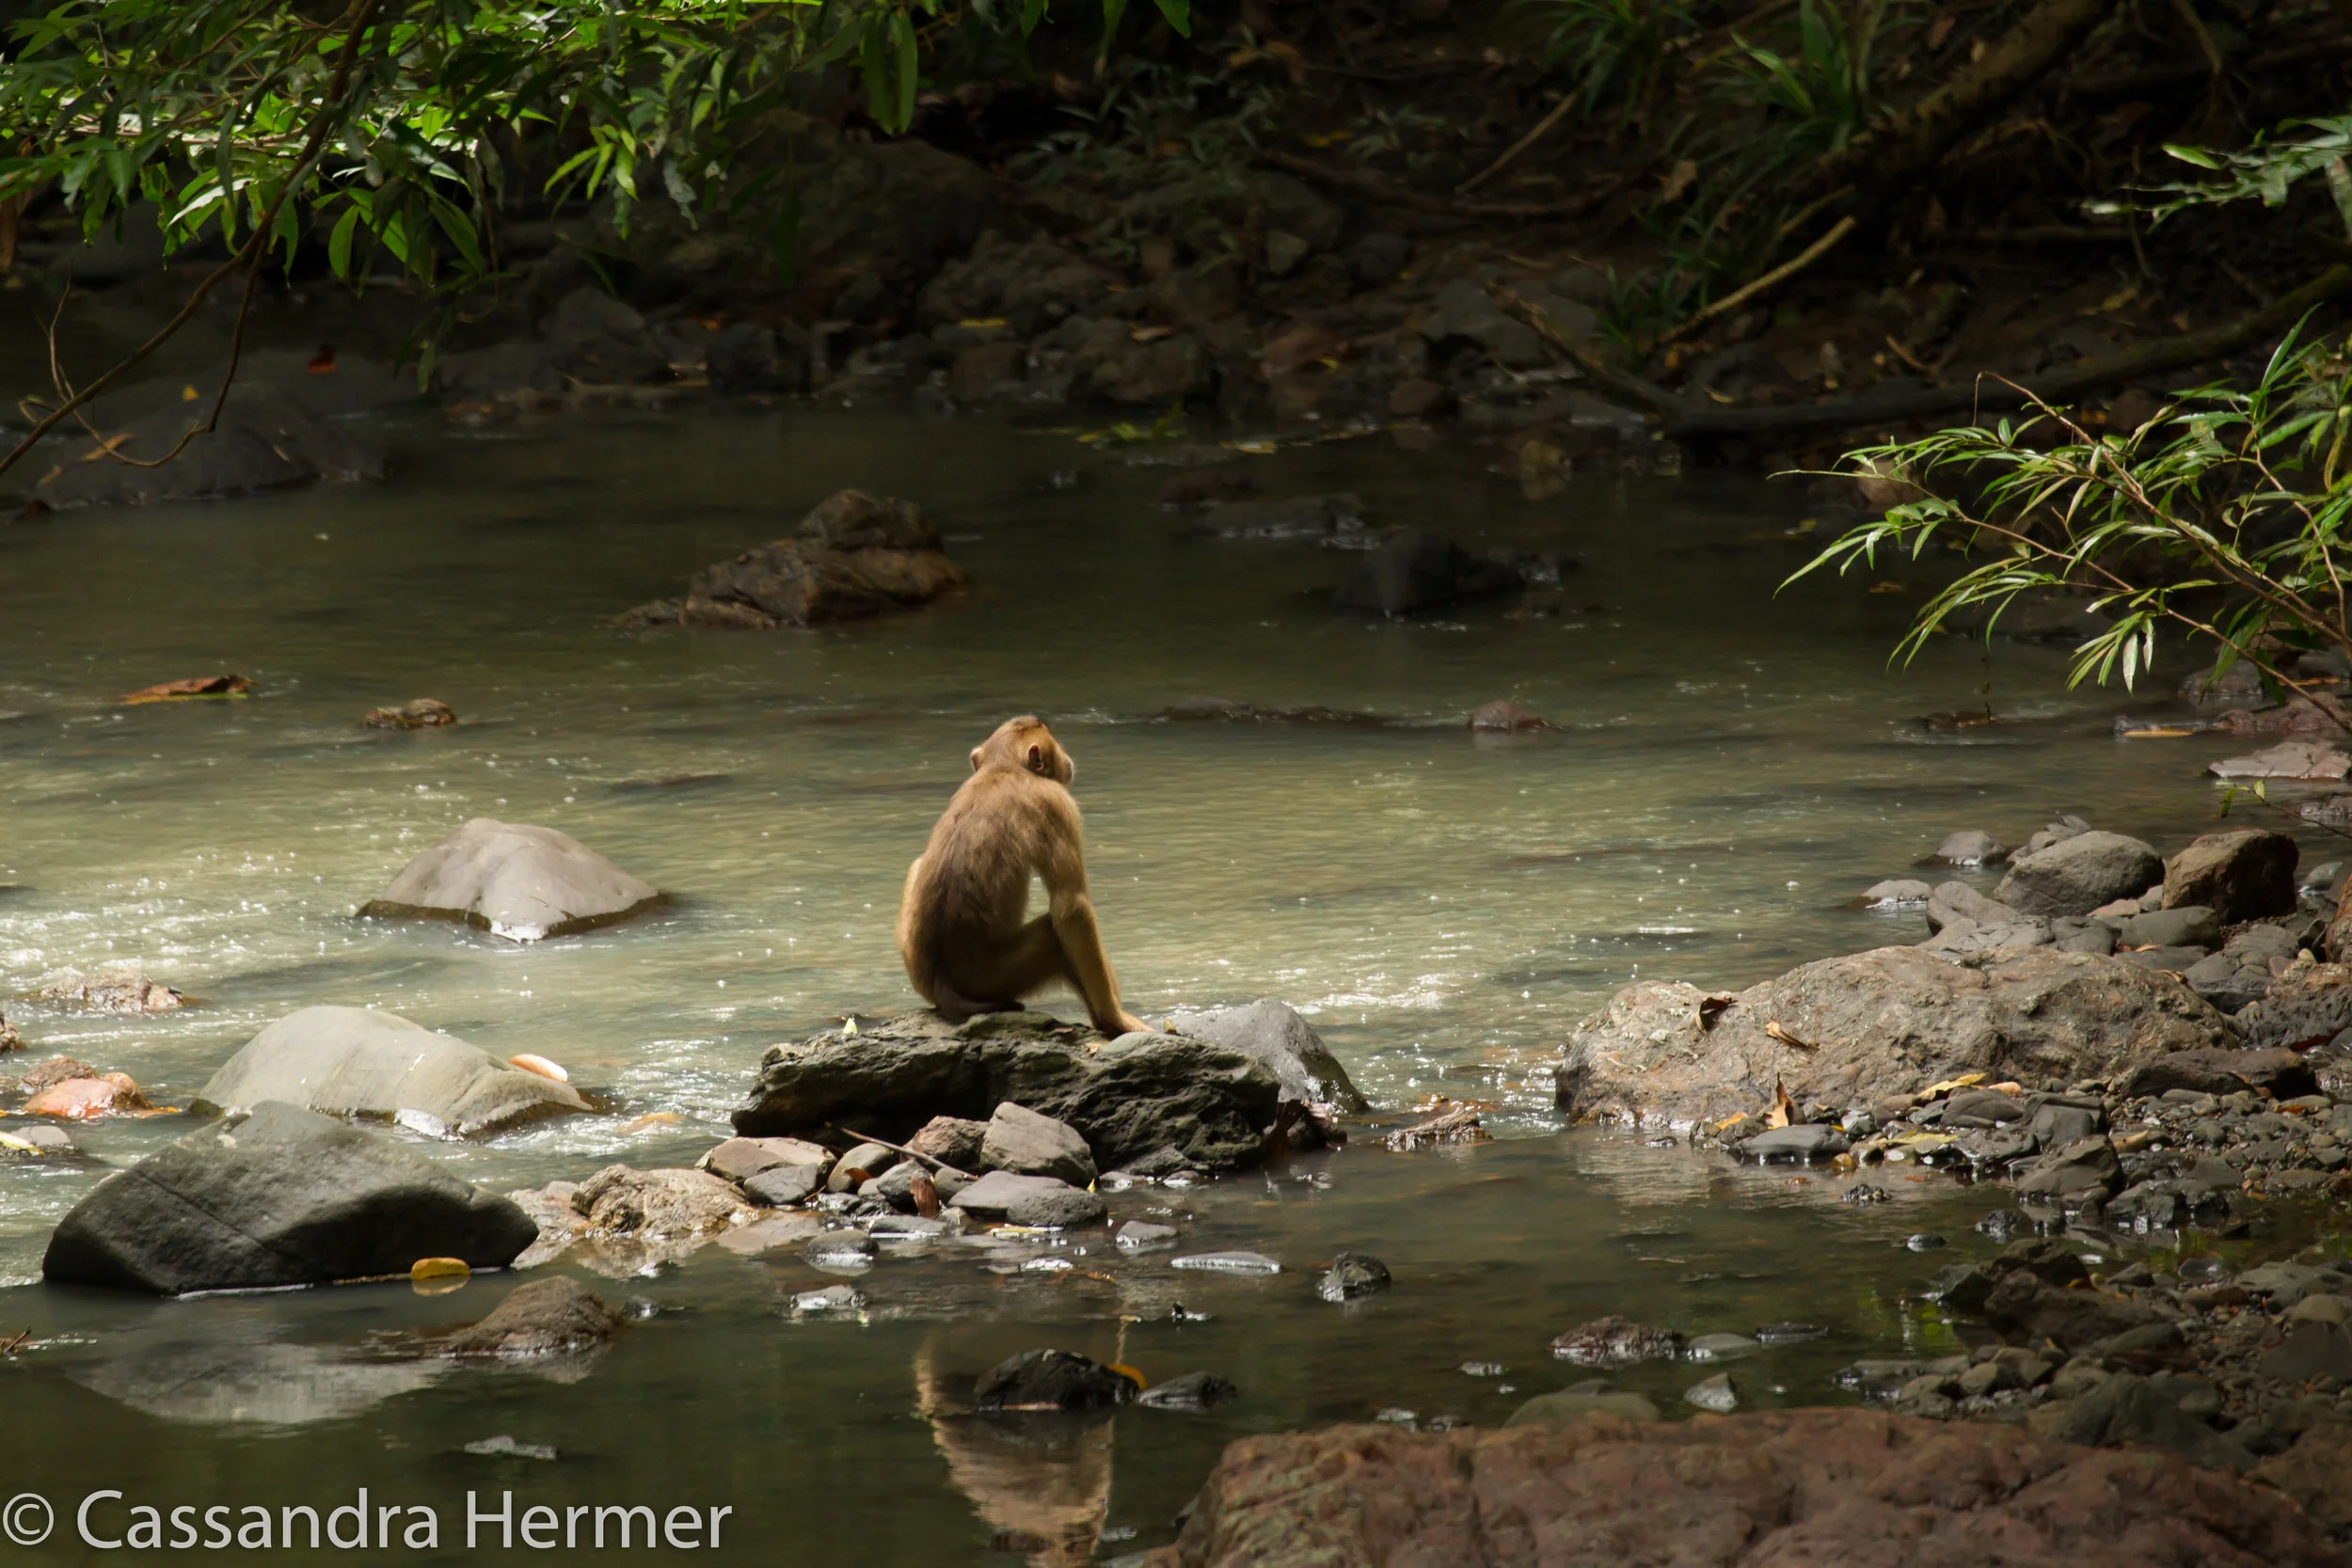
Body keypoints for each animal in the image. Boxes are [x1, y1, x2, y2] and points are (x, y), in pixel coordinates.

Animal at [896, 715, 1148, 1037]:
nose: (1067, 758)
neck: (1003, 768)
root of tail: (941, 983)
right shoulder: (1056, 804)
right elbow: (1071, 905)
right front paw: (1115, 1018)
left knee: (916, 866)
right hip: (994, 977)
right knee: (1053, 935)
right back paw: (1106, 1021)